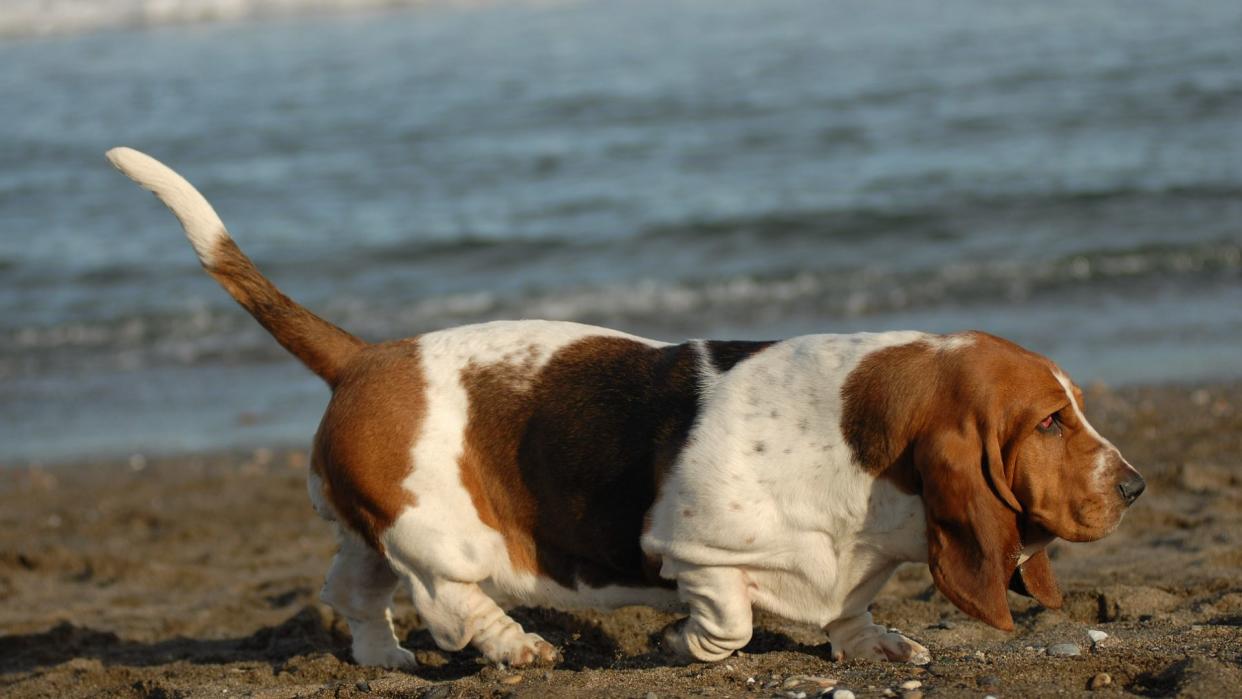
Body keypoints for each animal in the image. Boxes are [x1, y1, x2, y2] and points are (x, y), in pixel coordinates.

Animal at [106, 148, 1142, 670]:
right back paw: (513, 645)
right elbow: (727, 622)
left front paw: (876, 644)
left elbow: (850, 612)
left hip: (370, 528)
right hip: (443, 538)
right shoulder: (695, 550)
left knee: (355, 594)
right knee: (448, 603)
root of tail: (366, 356)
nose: (1133, 485)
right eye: (1048, 422)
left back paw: (385, 660)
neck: (855, 442)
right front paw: (686, 641)